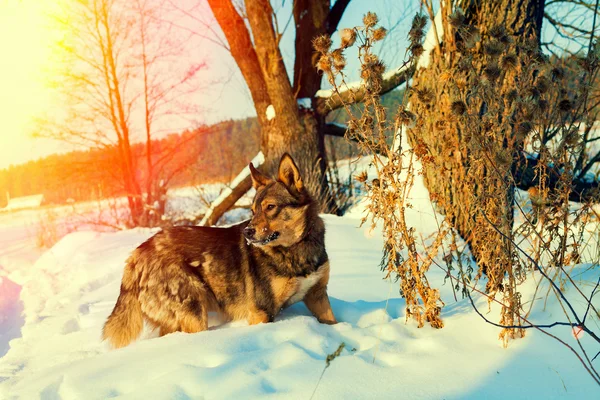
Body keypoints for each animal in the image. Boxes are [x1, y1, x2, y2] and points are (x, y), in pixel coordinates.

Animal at [103, 155, 338, 348]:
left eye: (270, 207)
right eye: (253, 211)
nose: (247, 232)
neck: (295, 249)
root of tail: (137, 254)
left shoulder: (318, 296)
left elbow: (333, 322)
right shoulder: (262, 312)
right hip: (194, 314)